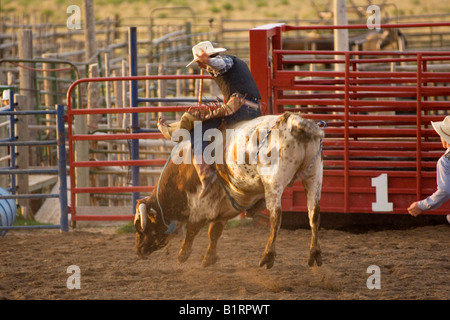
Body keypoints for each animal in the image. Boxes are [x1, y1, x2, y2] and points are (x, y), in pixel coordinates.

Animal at [134, 111, 324, 268]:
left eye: (140, 227)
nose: (138, 250)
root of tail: (293, 121)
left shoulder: (201, 204)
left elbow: (194, 228)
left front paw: (183, 254)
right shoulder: (224, 205)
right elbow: (214, 231)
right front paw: (209, 258)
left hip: (273, 182)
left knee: (276, 215)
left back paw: (267, 255)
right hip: (313, 176)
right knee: (313, 213)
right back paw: (314, 254)